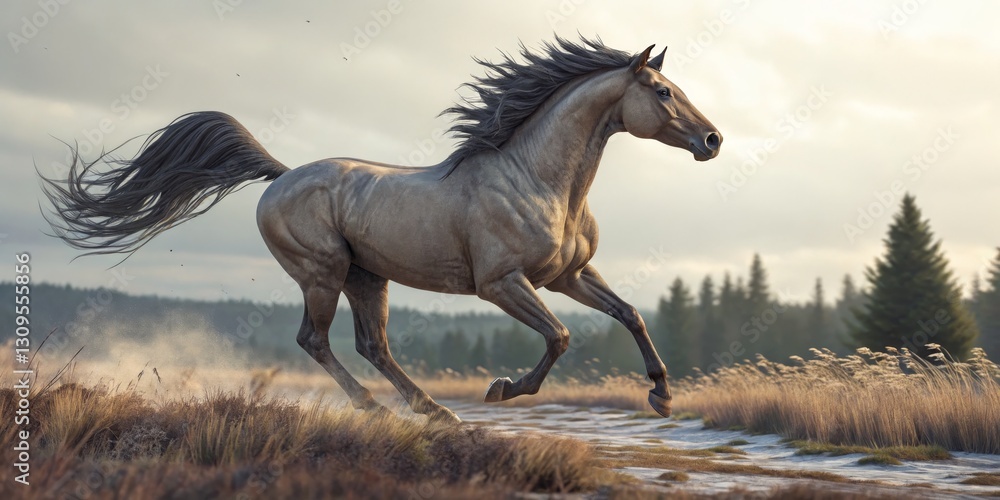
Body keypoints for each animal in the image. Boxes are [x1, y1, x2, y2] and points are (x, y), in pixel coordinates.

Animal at [42, 37, 721, 424]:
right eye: (661, 91)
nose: (712, 139)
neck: (539, 180)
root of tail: (281, 177)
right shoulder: (503, 283)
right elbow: (559, 338)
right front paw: (503, 389)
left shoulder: (569, 275)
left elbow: (629, 314)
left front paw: (662, 396)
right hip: (324, 272)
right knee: (316, 341)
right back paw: (381, 409)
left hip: (368, 276)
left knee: (373, 345)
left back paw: (433, 410)